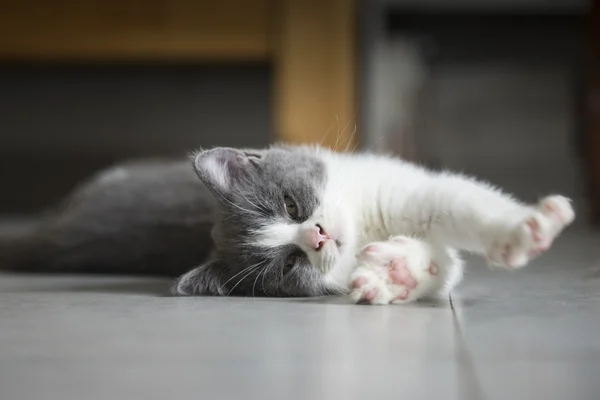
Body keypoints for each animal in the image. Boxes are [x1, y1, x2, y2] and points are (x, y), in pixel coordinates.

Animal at [0, 145, 576, 304]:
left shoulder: (398, 187)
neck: (364, 228)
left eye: (290, 205)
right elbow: (442, 265)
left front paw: (526, 228)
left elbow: (453, 203)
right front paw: (391, 275)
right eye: (290, 263)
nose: (317, 235)